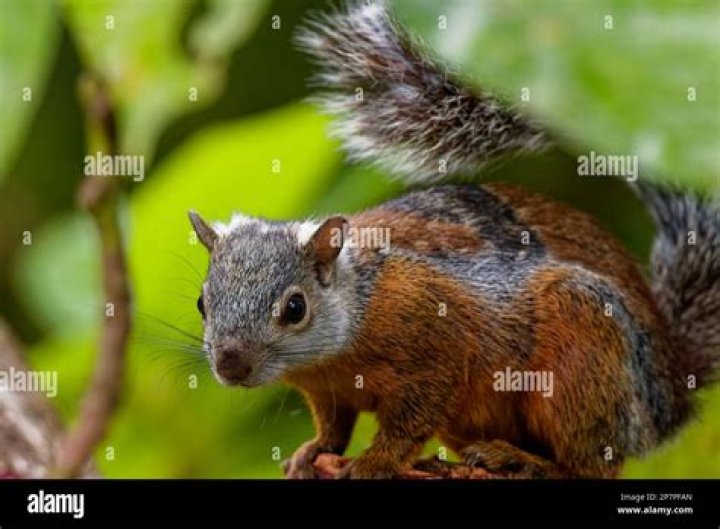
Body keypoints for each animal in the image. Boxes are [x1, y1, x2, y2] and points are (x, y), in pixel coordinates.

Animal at [187, 2, 719, 479]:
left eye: (295, 308)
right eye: (201, 303)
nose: (230, 365)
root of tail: (672, 394)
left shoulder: (437, 337)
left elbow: (411, 418)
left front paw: (374, 463)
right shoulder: (325, 391)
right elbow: (334, 426)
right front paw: (312, 451)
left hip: (584, 357)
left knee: (592, 466)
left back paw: (522, 461)